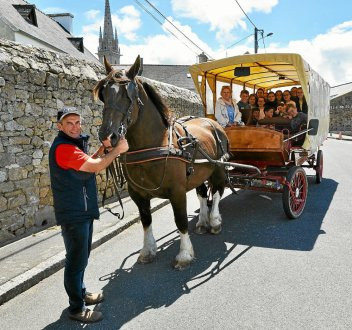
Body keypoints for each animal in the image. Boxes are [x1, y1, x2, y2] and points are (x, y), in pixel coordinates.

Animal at [94, 56, 228, 268]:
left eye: (128, 95)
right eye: (104, 94)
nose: (108, 136)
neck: (155, 144)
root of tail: (211, 122)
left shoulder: (177, 191)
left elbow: (180, 220)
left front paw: (184, 254)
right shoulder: (137, 194)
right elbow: (146, 221)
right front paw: (148, 250)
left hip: (218, 169)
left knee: (216, 193)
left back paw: (214, 221)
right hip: (198, 172)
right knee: (202, 194)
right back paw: (202, 222)